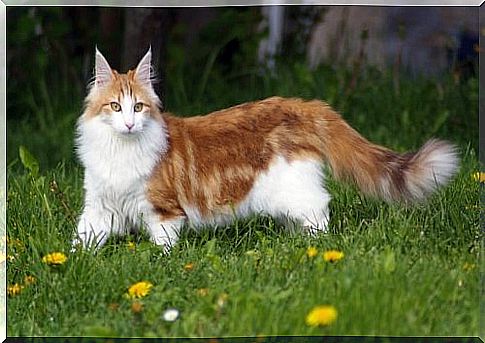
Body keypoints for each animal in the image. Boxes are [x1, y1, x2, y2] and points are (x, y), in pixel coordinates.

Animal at [73, 47, 460, 253]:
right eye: (115, 107)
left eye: (138, 107)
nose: (128, 124)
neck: (119, 151)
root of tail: (301, 105)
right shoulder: (99, 207)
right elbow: (82, 239)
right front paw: (73, 262)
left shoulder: (162, 211)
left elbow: (162, 245)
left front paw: (162, 263)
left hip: (292, 187)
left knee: (320, 209)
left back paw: (315, 247)